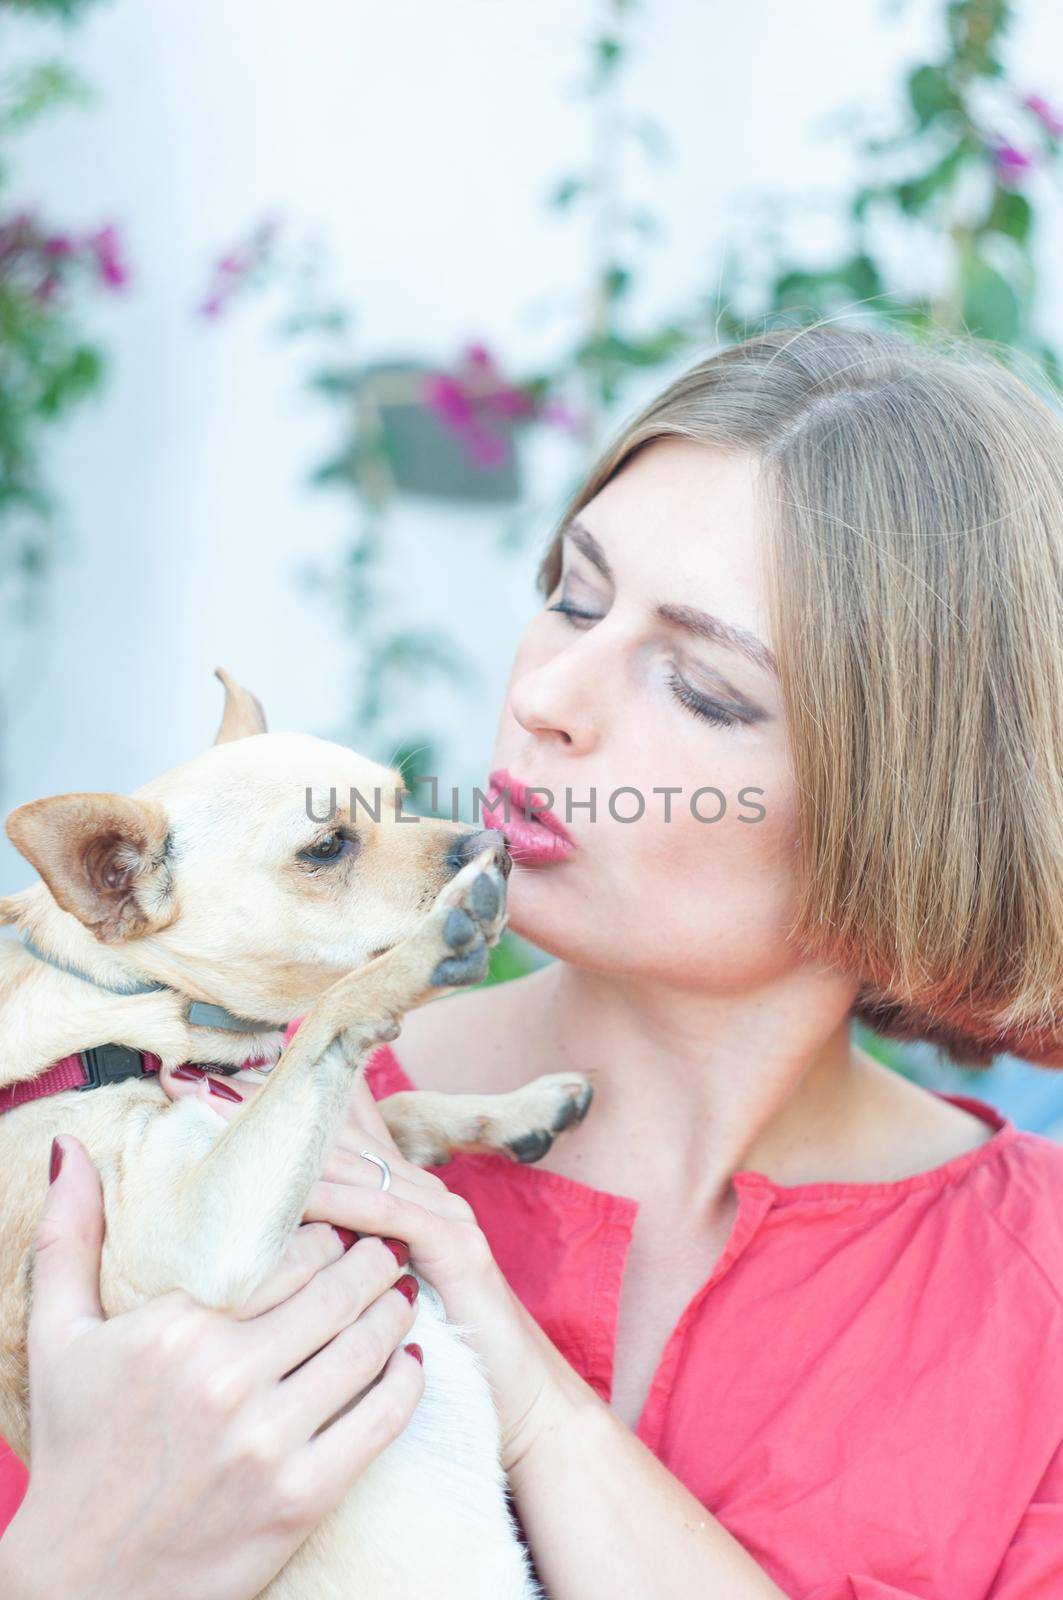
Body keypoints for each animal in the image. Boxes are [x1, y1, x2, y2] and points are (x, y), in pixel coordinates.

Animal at [0, 672, 589, 1600]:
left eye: (400, 803)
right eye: (327, 847)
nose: (494, 844)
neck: (140, 1008)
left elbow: (392, 1106)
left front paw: (520, 1108)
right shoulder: (194, 1242)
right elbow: (334, 1019)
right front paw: (428, 950)